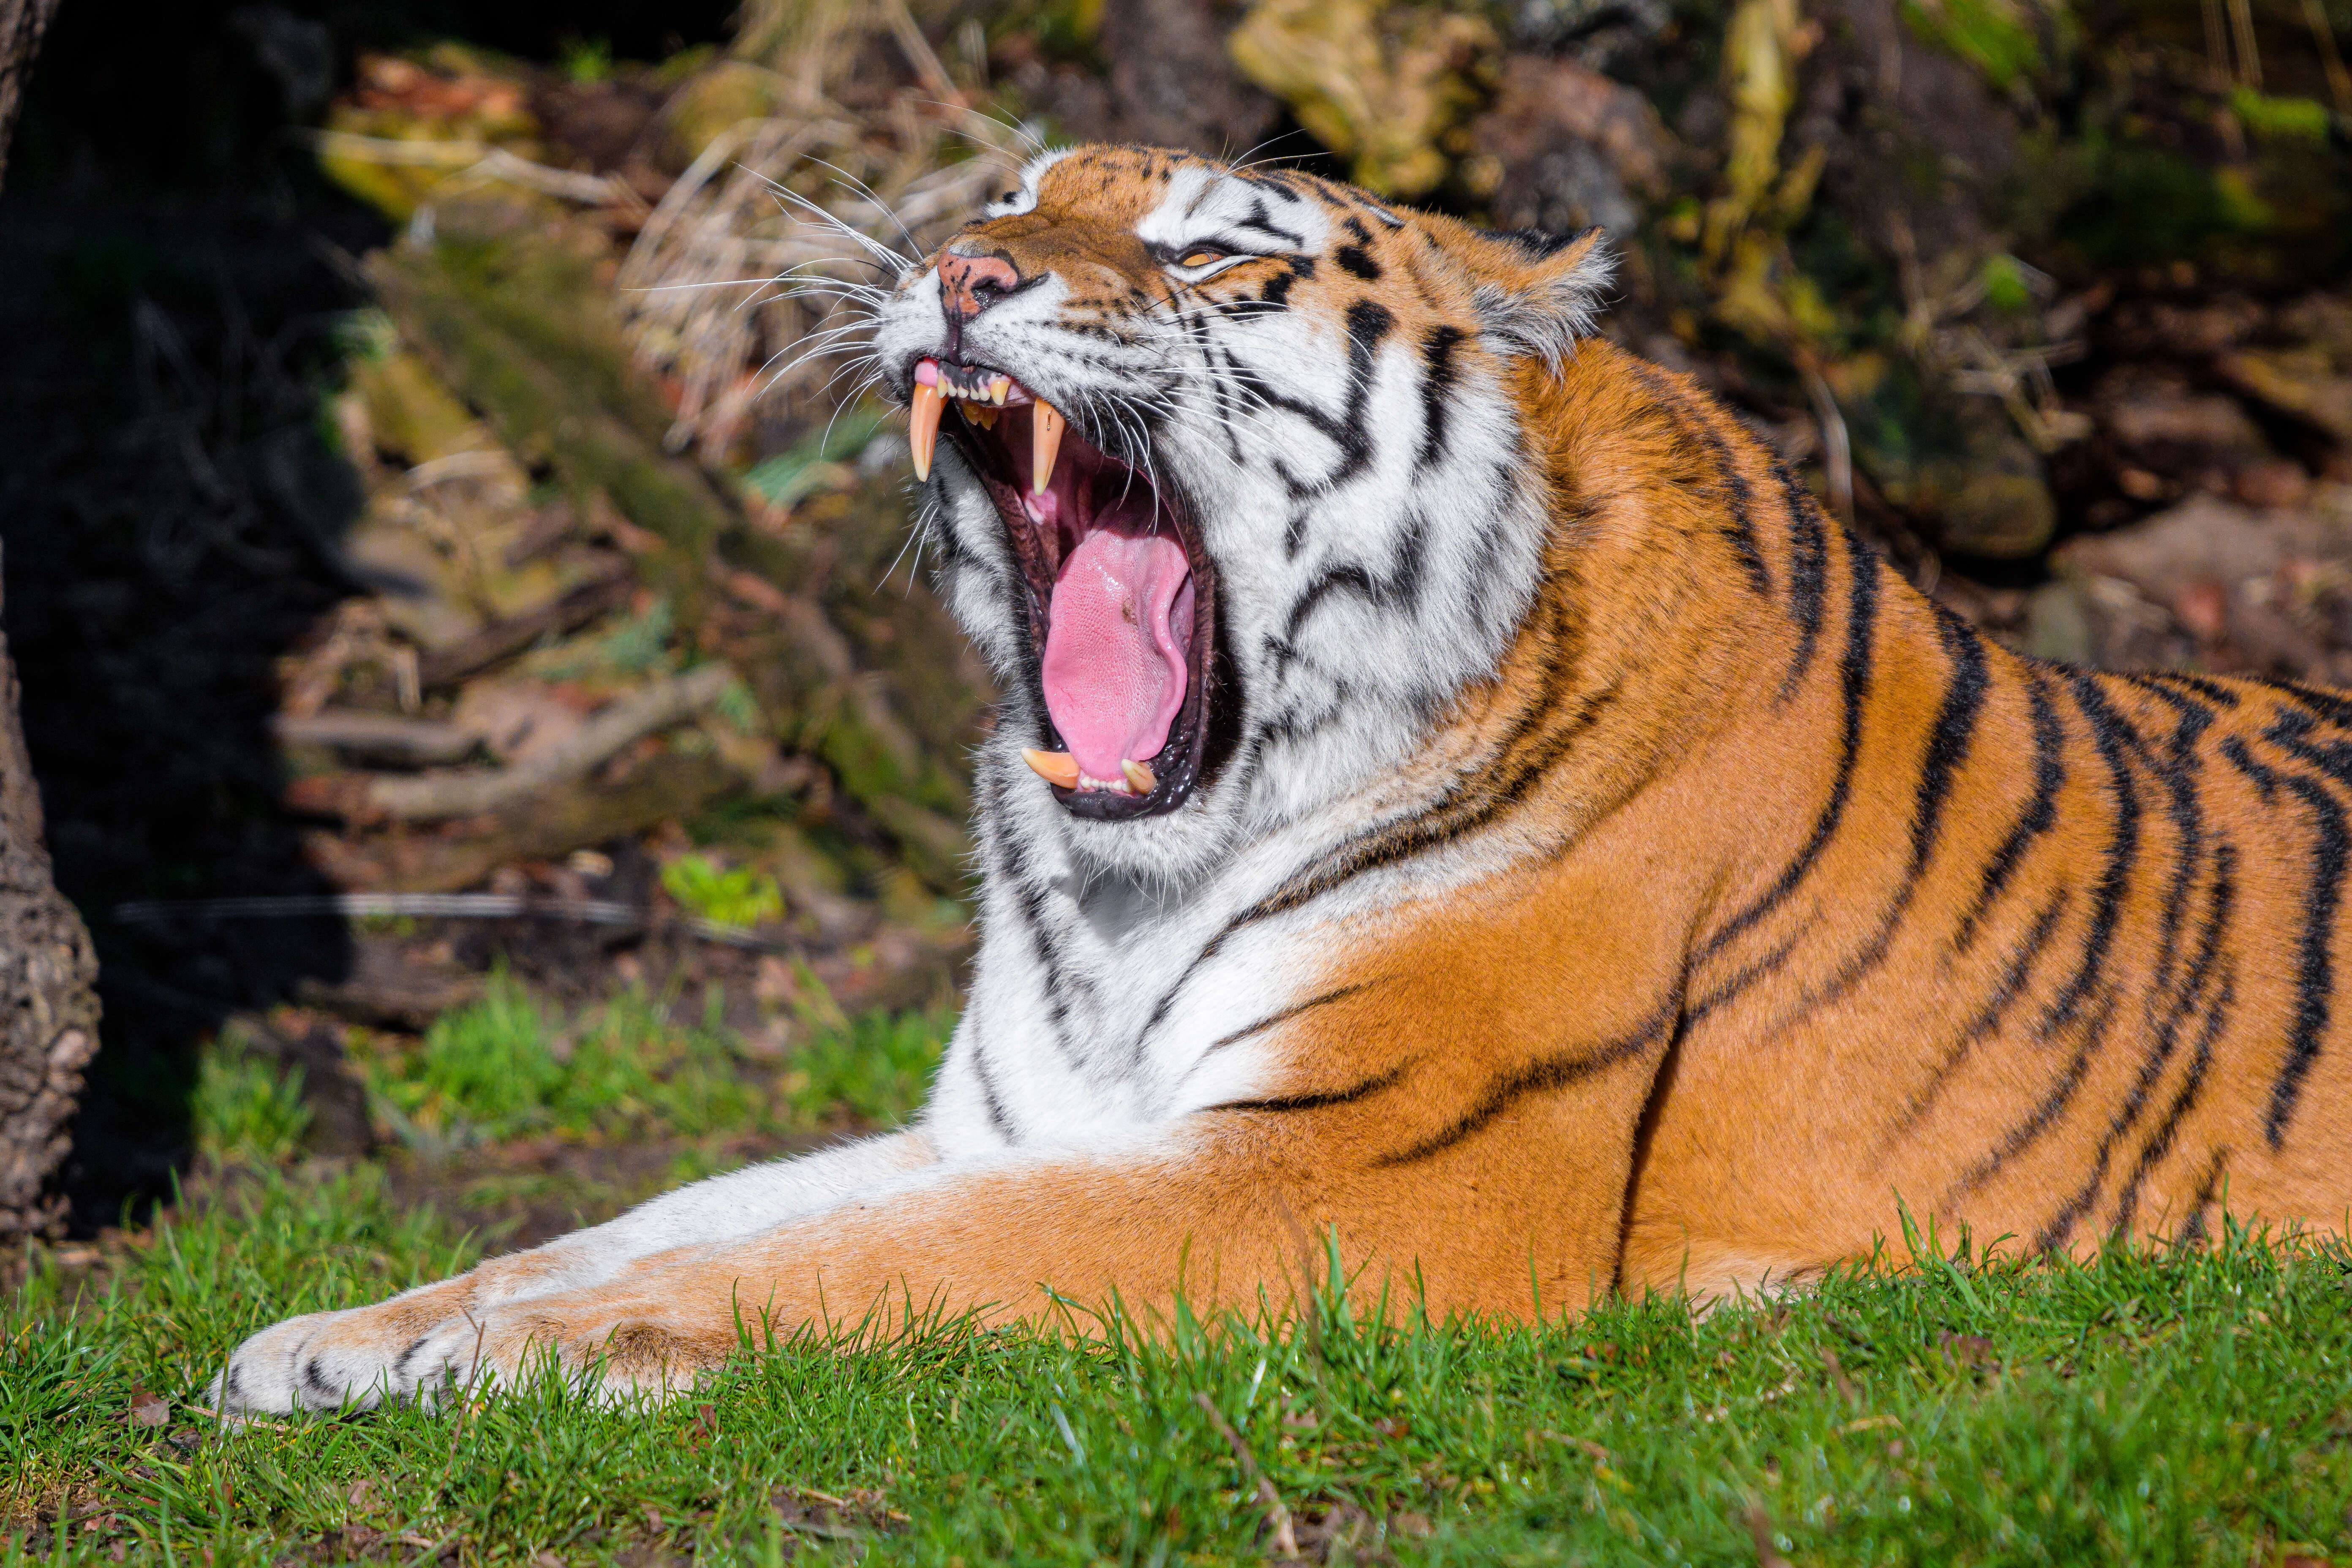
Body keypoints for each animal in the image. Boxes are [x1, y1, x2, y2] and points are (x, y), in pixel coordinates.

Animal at [216, 147, 2352, 1420]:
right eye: (1009, 193)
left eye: (1216, 249)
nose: (956, 268)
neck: (1121, 883)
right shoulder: (1025, 1119)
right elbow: (670, 1211)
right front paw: (341, 1339)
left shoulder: (1360, 1175)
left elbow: (851, 1259)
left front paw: (511, 1355)